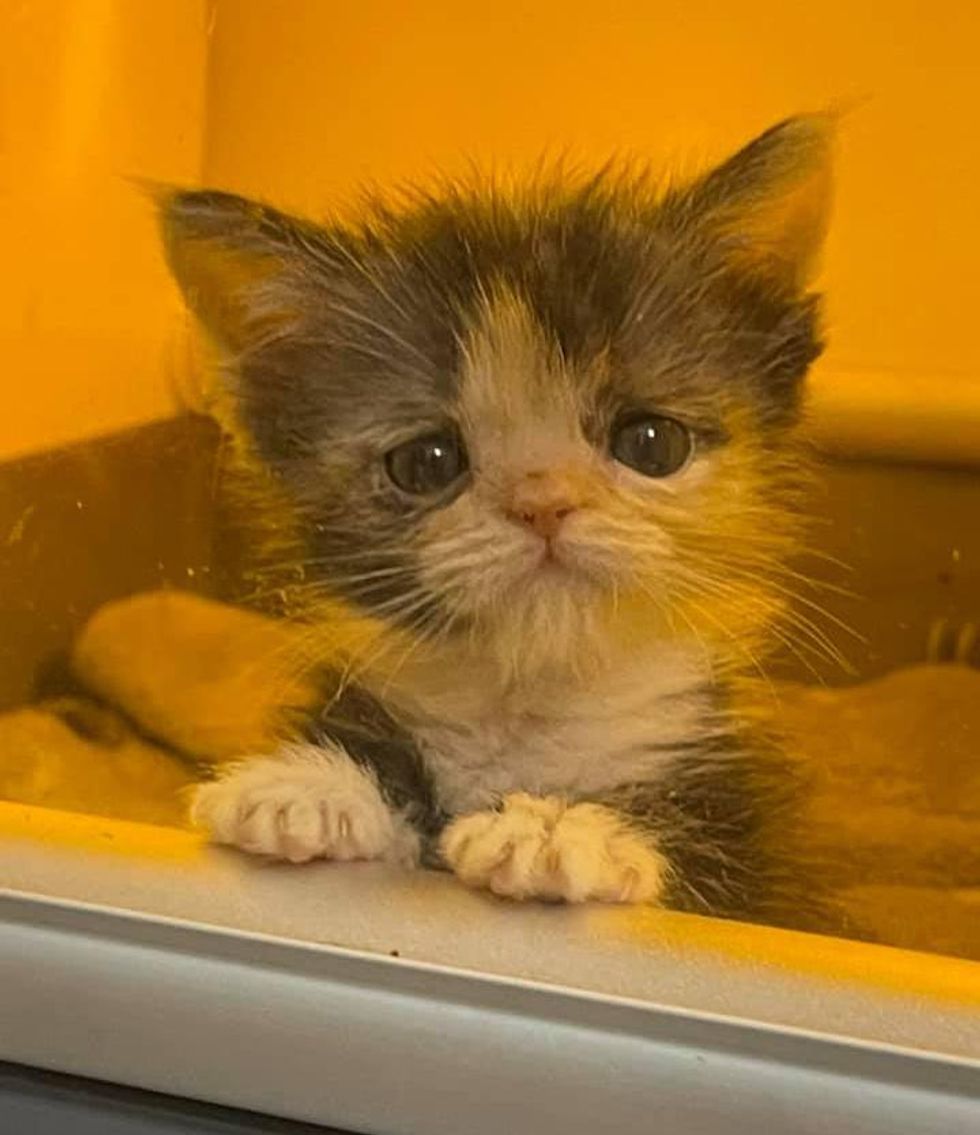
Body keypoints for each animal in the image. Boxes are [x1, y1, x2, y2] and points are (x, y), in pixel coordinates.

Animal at [158, 115, 835, 926]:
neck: (527, 712)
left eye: (652, 443)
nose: (542, 501)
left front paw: (556, 829)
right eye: (426, 462)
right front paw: (314, 786)